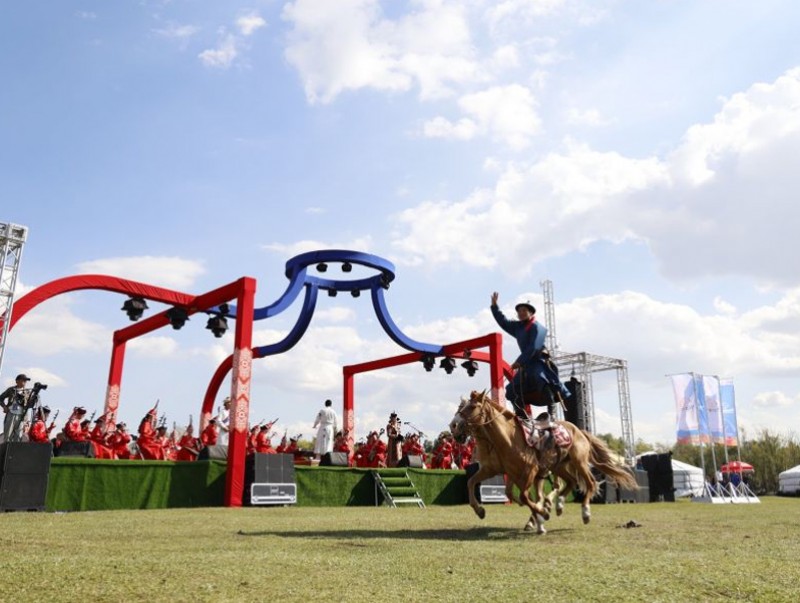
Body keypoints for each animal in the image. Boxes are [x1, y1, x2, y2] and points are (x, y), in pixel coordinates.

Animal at [454, 392, 636, 532]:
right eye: (461, 407)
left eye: (472, 407)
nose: (454, 427)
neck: (509, 439)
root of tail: (579, 430)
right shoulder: (496, 470)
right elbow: (472, 482)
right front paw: (480, 510)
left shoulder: (531, 471)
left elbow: (525, 497)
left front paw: (542, 514)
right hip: (559, 466)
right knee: (570, 482)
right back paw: (558, 506)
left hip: (579, 462)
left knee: (590, 483)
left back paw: (584, 513)